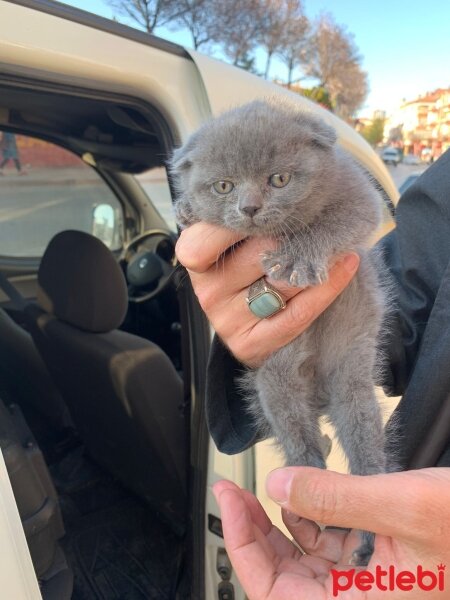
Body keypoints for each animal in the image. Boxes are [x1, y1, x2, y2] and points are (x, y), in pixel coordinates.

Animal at [171, 99, 392, 568]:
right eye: (223, 186)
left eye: (279, 179)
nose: (250, 208)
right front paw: (186, 209)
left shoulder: (357, 194)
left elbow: (339, 223)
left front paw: (297, 258)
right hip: (276, 377)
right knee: (296, 428)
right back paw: (306, 476)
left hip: (351, 368)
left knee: (362, 430)